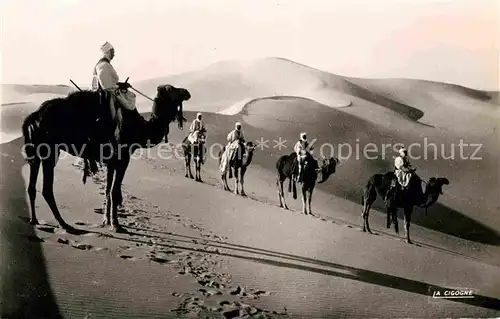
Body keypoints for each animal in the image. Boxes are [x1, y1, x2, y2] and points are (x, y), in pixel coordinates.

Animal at [21, 84, 190, 235]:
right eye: (170, 89)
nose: (186, 92)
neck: (139, 129)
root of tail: (33, 116)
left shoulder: (111, 161)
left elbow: (108, 190)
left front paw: (106, 221)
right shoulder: (123, 158)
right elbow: (114, 191)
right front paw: (116, 225)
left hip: (36, 153)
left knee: (32, 186)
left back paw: (35, 220)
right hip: (49, 151)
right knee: (47, 189)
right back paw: (64, 225)